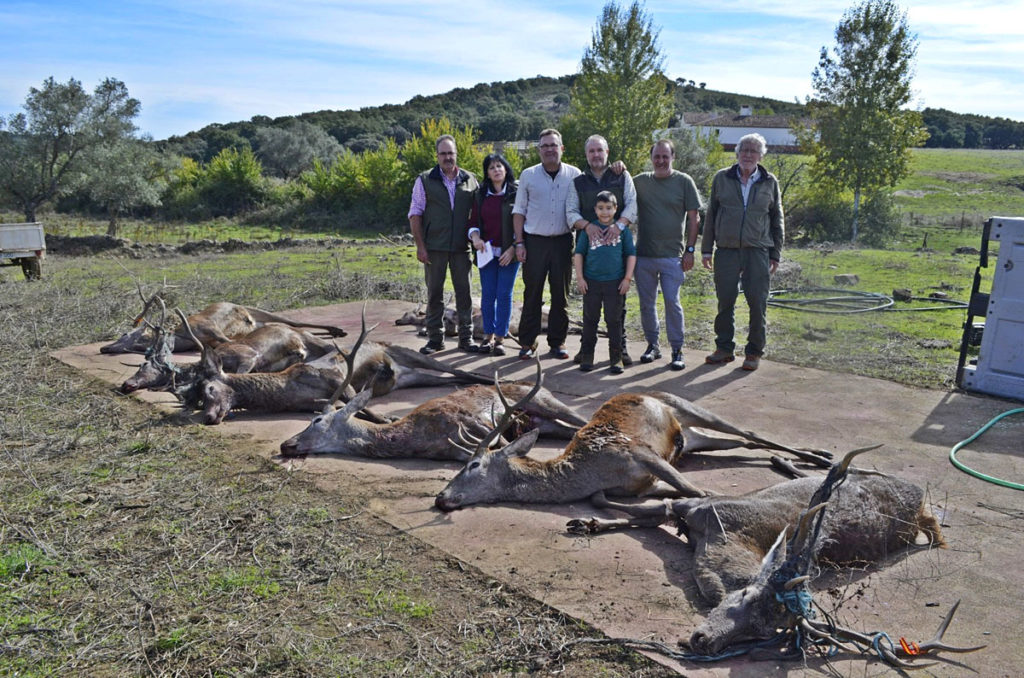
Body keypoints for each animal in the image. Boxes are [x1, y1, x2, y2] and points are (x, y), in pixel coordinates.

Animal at [280, 360, 589, 462]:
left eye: (316, 420)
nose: (286, 444)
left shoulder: (469, 420)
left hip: (546, 401)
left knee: (581, 419)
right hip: (544, 423)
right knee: (571, 430)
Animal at [432, 391, 831, 512]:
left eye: (473, 464)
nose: (440, 497)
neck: (585, 471)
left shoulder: (640, 452)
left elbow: (697, 490)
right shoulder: (640, 482)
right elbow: (602, 498)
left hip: (685, 405)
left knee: (747, 430)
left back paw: (821, 458)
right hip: (695, 438)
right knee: (745, 441)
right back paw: (812, 456)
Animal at [565, 450, 978, 667]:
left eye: (761, 632)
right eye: (745, 595)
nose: (702, 640)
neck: (718, 544)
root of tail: (921, 505)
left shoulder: (700, 512)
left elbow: (651, 511)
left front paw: (590, 517)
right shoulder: (702, 507)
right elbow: (650, 507)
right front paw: (589, 515)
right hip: (874, 476)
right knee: (843, 469)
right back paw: (793, 461)